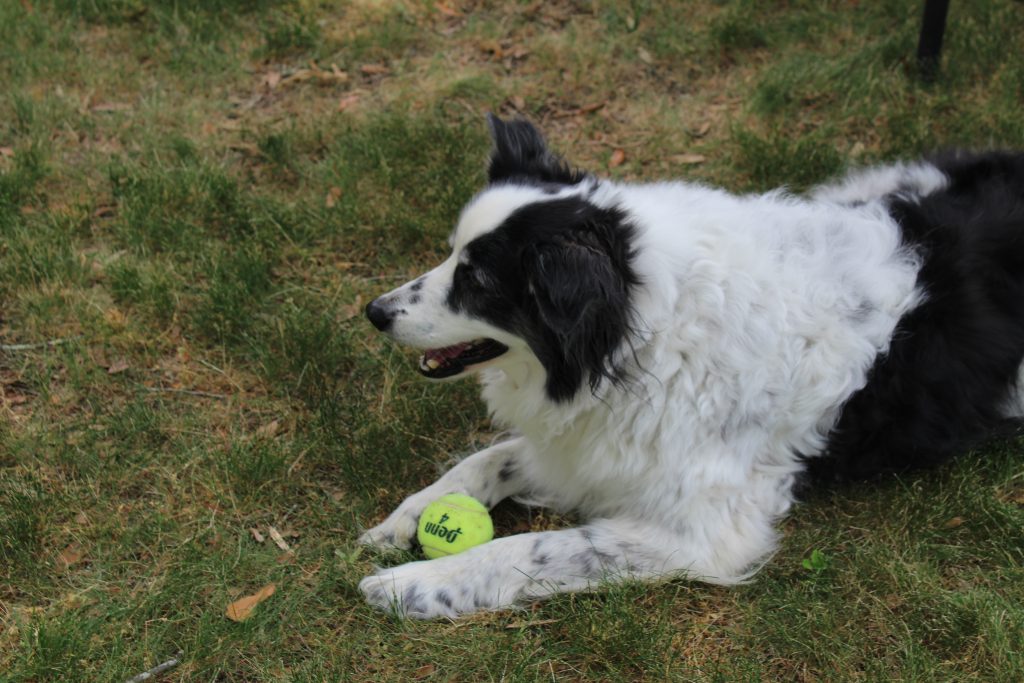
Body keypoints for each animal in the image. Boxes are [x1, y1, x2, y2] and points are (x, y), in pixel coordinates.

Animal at [358, 114, 1024, 618]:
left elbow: (535, 547)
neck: (641, 328)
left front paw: (417, 583)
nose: (375, 312)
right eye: (451, 256)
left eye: (477, 282)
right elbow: (486, 460)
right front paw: (404, 520)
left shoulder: (702, 532)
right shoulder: (593, 444)